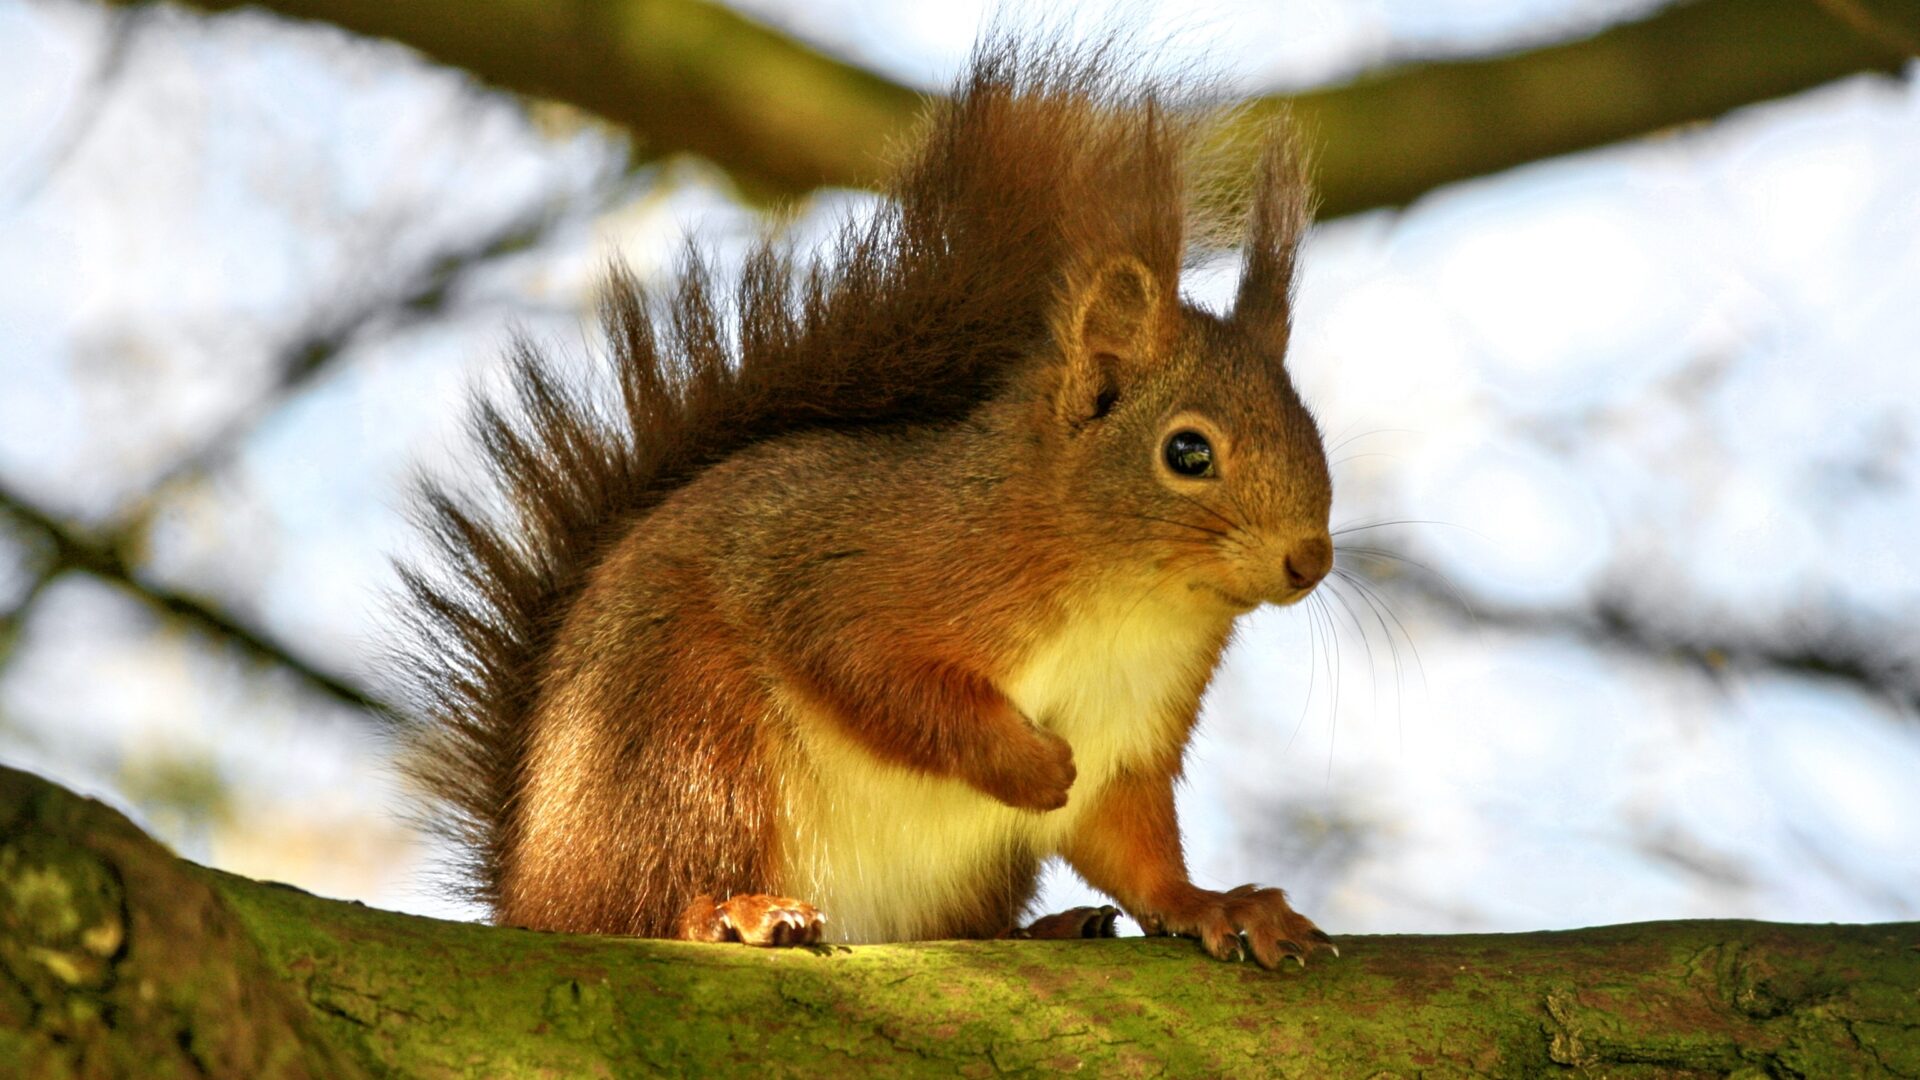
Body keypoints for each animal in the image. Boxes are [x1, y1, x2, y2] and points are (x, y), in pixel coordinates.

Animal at [396, 38, 1337, 970]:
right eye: (1188, 452)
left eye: (1310, 422)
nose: (1311, 559)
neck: (1129, 603)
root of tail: (530, 896)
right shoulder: (856, 566)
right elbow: (870, 673)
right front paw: (1025, 764)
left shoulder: (1131, 741)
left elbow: (1134, 847)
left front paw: (1217, 904)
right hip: (689, 747)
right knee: (647, 898)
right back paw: (733, 912)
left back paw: (1041, 927)